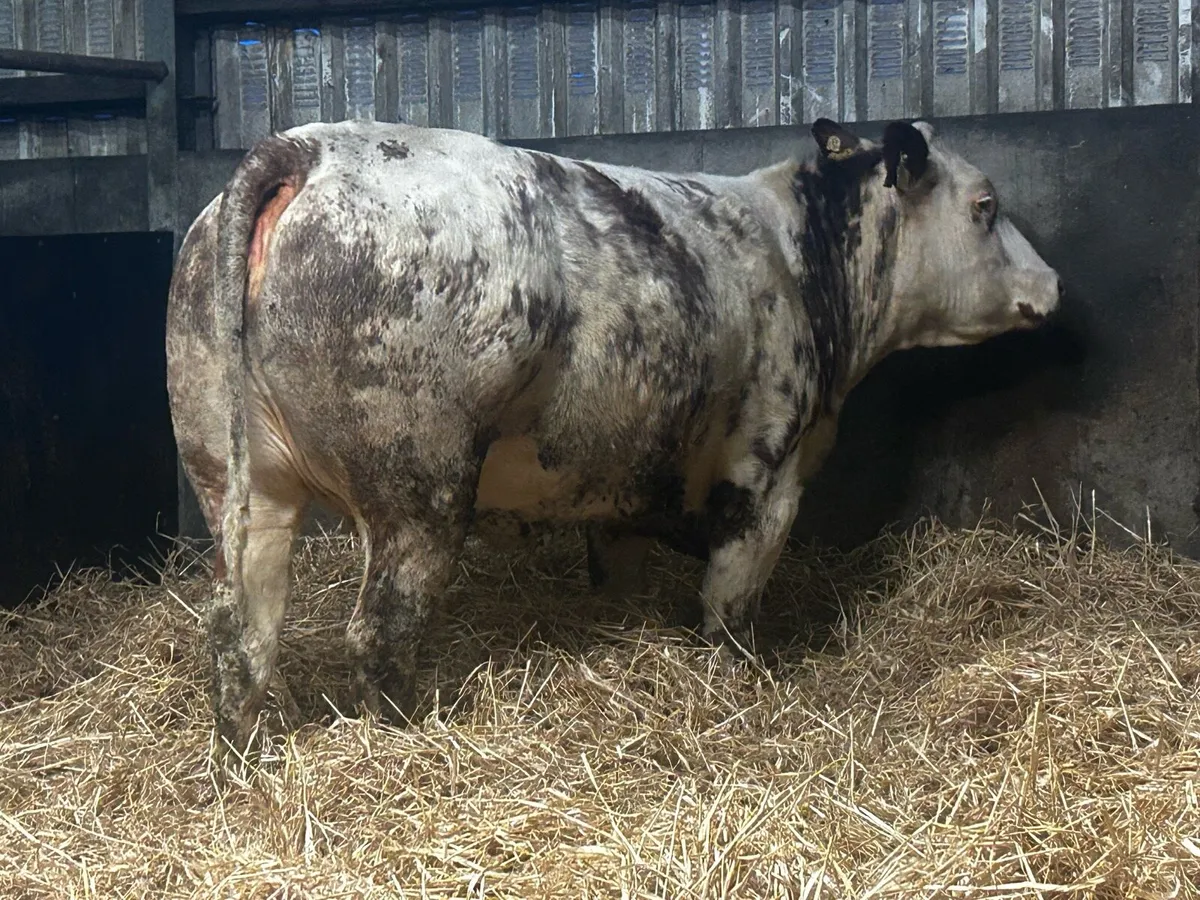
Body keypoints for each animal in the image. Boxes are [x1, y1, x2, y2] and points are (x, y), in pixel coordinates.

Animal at [166, 116, 1062, 759]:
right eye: (986, 207)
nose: (1053, 283)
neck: (799, 258)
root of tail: (311, 147)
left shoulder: (619, 484)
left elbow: (620, 586)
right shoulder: (766, 482)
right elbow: (730, 612)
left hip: (237, 480)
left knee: (241, 627)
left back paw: (250, 754)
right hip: (416, 490)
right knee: (379, 629)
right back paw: (408, 734)